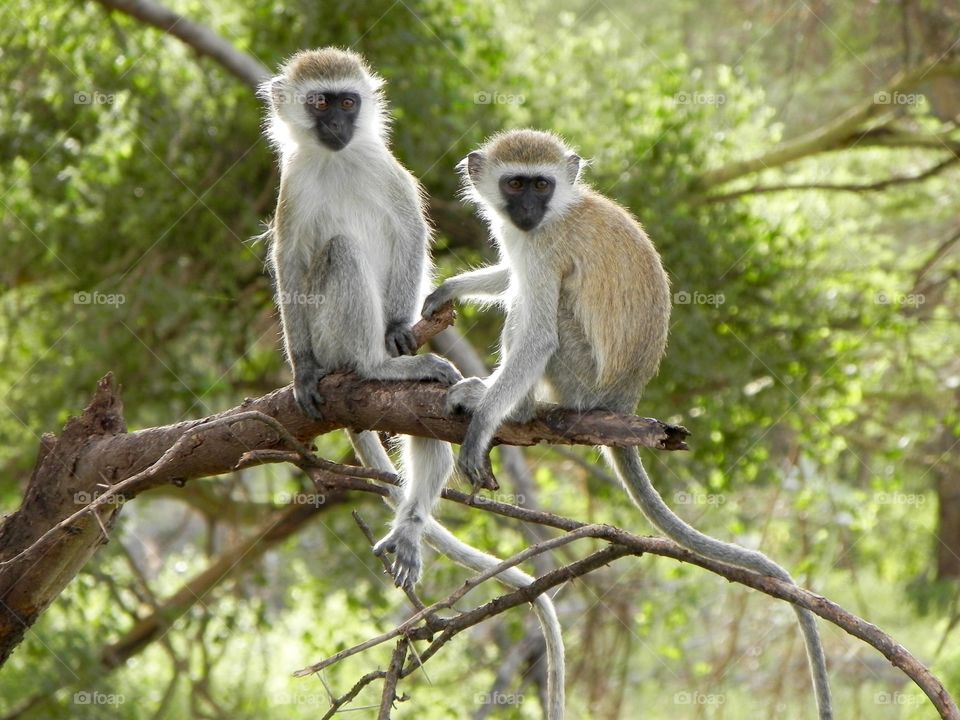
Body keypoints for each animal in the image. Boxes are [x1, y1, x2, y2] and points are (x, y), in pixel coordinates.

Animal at [260, 51, 564, 719]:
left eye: (348, 101)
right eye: (320, 102)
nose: (337, 125)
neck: (339, 160)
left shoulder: (389, 172)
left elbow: (409, 234)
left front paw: (405, 323)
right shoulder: (292, 189)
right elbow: (291, 264)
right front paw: (300, 371)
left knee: (425, 425)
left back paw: (411, 514)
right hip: (333, 336)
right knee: (338, 256)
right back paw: (370, 367)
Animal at [415, 129, 833, 718]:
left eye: (541, 185)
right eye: (516, 184)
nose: (527, 210)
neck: (556, 213)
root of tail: (622, 399)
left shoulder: (545, 250)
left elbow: (538, 330)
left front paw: (485, 424)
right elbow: (508, 274)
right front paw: (450, 287)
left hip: (578, 381)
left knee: (544, 316)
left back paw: (513, 408)